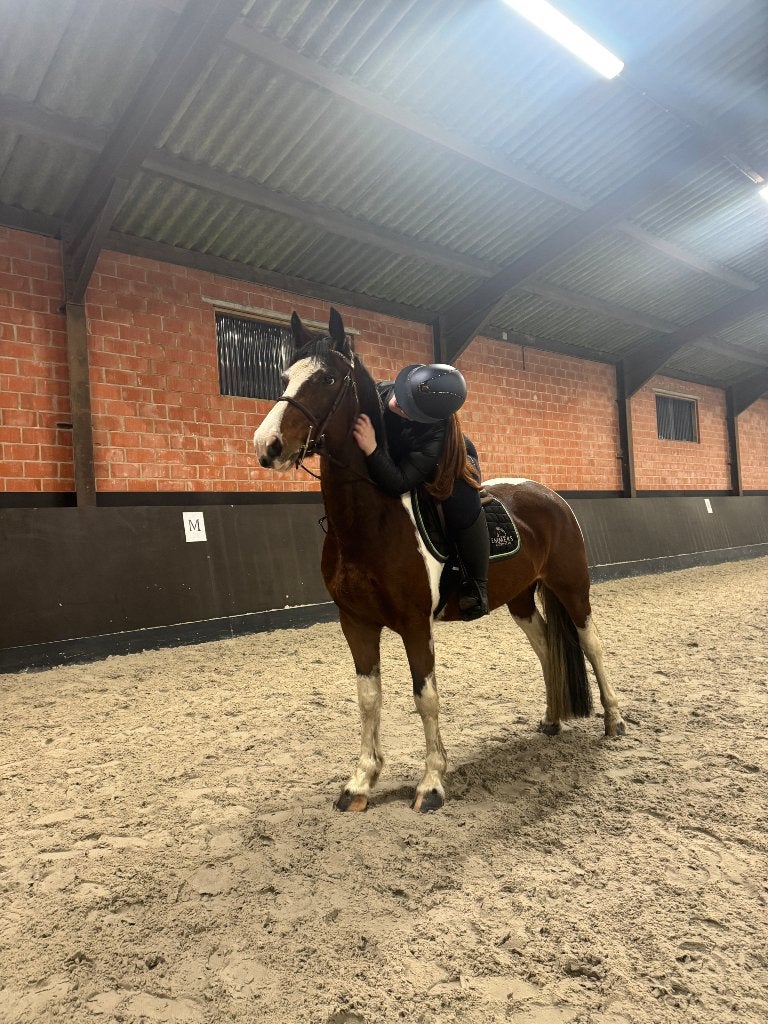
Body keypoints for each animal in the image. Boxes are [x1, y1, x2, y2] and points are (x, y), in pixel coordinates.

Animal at [253, 308, 626, 813]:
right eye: (285, 377)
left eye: (327, 378)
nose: (267, 445)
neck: (370, 522)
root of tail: (551, 495)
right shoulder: (356, 622)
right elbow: (368, 697)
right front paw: (360, 782)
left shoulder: (415, 625)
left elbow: (425, 697)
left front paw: (431, 783)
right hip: (521, 600)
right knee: (547, 646)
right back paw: (551, 720)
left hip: (572, 586)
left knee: (592, 644)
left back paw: (615, 720)